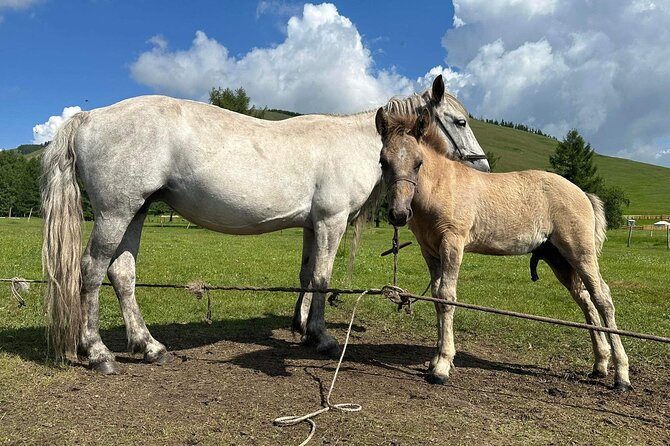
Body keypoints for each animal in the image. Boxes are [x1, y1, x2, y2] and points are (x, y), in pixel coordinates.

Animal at [41, 75, 490, 374]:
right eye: (460, 122)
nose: (483, 166)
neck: (357, 145)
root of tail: (88, 117)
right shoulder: (332, 222)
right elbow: (323, 277)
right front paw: (322, 338)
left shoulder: (312, 224)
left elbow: (307, 275)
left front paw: (301, 325)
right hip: (116, 212)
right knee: (92, 271)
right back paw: (98, 352)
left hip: (135, 211)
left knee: (122, 274)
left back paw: (148, 345)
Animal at [374, 107, 632, 390]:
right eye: (383, 162)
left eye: (418, 163)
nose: (398, 214)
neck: (442, 186)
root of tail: (583, 193)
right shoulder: (429, 251)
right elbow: (436, 298)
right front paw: (436, 360)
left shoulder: (452, 243)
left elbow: (447, 297)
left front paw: (441, 366)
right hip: (560, 260)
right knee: (585, 300)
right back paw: (600, 364)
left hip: (580, 252)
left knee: (602, 299)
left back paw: (621, 374)